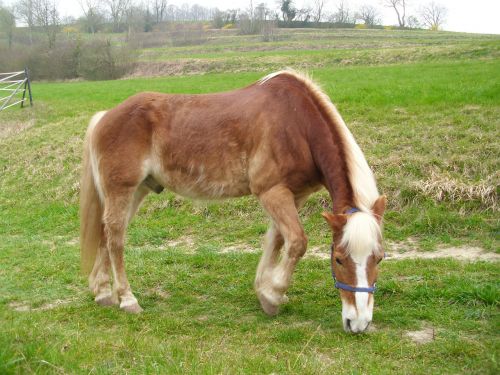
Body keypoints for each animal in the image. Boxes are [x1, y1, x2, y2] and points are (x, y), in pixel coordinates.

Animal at [81, 70, 386, 334]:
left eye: (379, 258)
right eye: (338, 259)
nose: (359, 323)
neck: (297, 124)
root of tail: (104, 116)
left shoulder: (293, 195)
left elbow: (276, 240)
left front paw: (265, 289)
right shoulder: (272, 192)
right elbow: (297, 242)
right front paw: (273, 296)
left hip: (137, 191)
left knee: (107, 233)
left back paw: (103, 292)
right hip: (122, 190)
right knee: (116, 238)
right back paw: (127, 299)